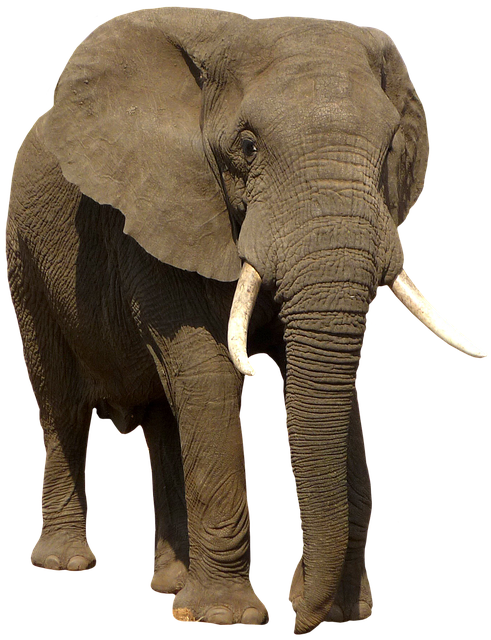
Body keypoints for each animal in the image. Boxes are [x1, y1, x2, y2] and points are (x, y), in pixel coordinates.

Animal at [5, 7, 489, 634]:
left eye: (389, 149)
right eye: (248, 145)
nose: (300, 610)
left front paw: (342, 612)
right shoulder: (161, 210)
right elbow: (206, 370)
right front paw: (224, 617)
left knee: (164, 415)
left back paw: (169, 586)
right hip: (25, 253)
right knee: (62, 399)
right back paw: (67, 567)